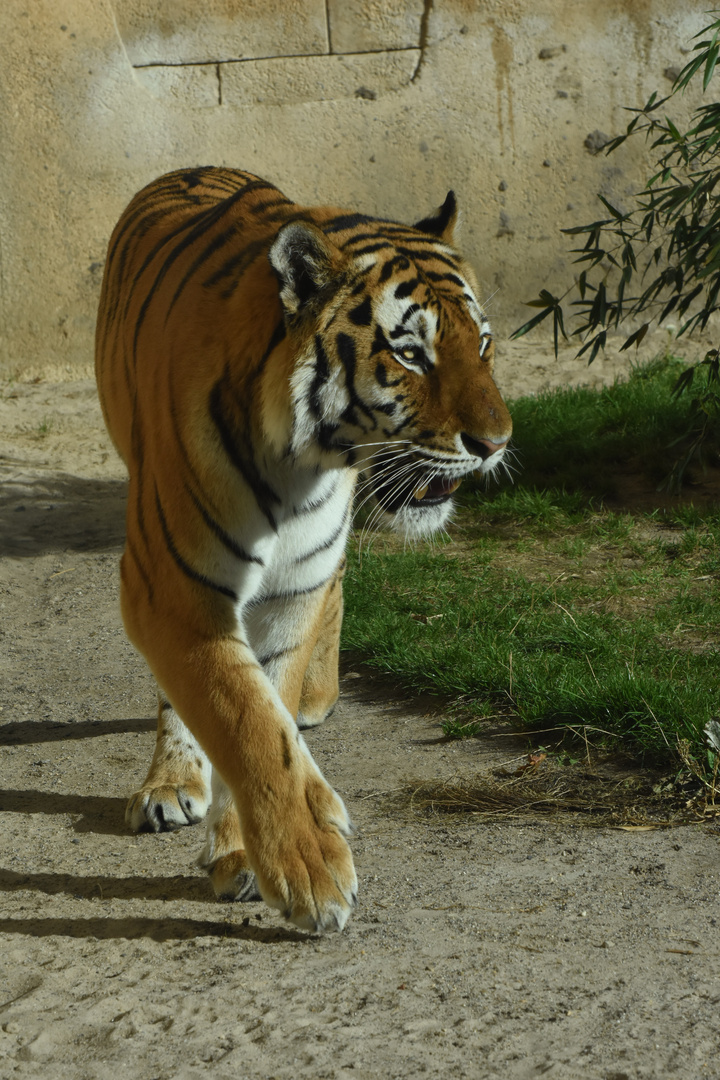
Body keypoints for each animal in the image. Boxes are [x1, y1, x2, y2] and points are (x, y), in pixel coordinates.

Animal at [95, 164, 511, 933]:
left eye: (484, 344)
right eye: (411, 352)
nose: (496, 444)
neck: (305, 463)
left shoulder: (294, 589)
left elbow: (273, 708)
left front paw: (244, 852)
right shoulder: (174, 589)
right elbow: (245, 720)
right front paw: (312, 871)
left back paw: (317, 699)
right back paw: (171, 781)